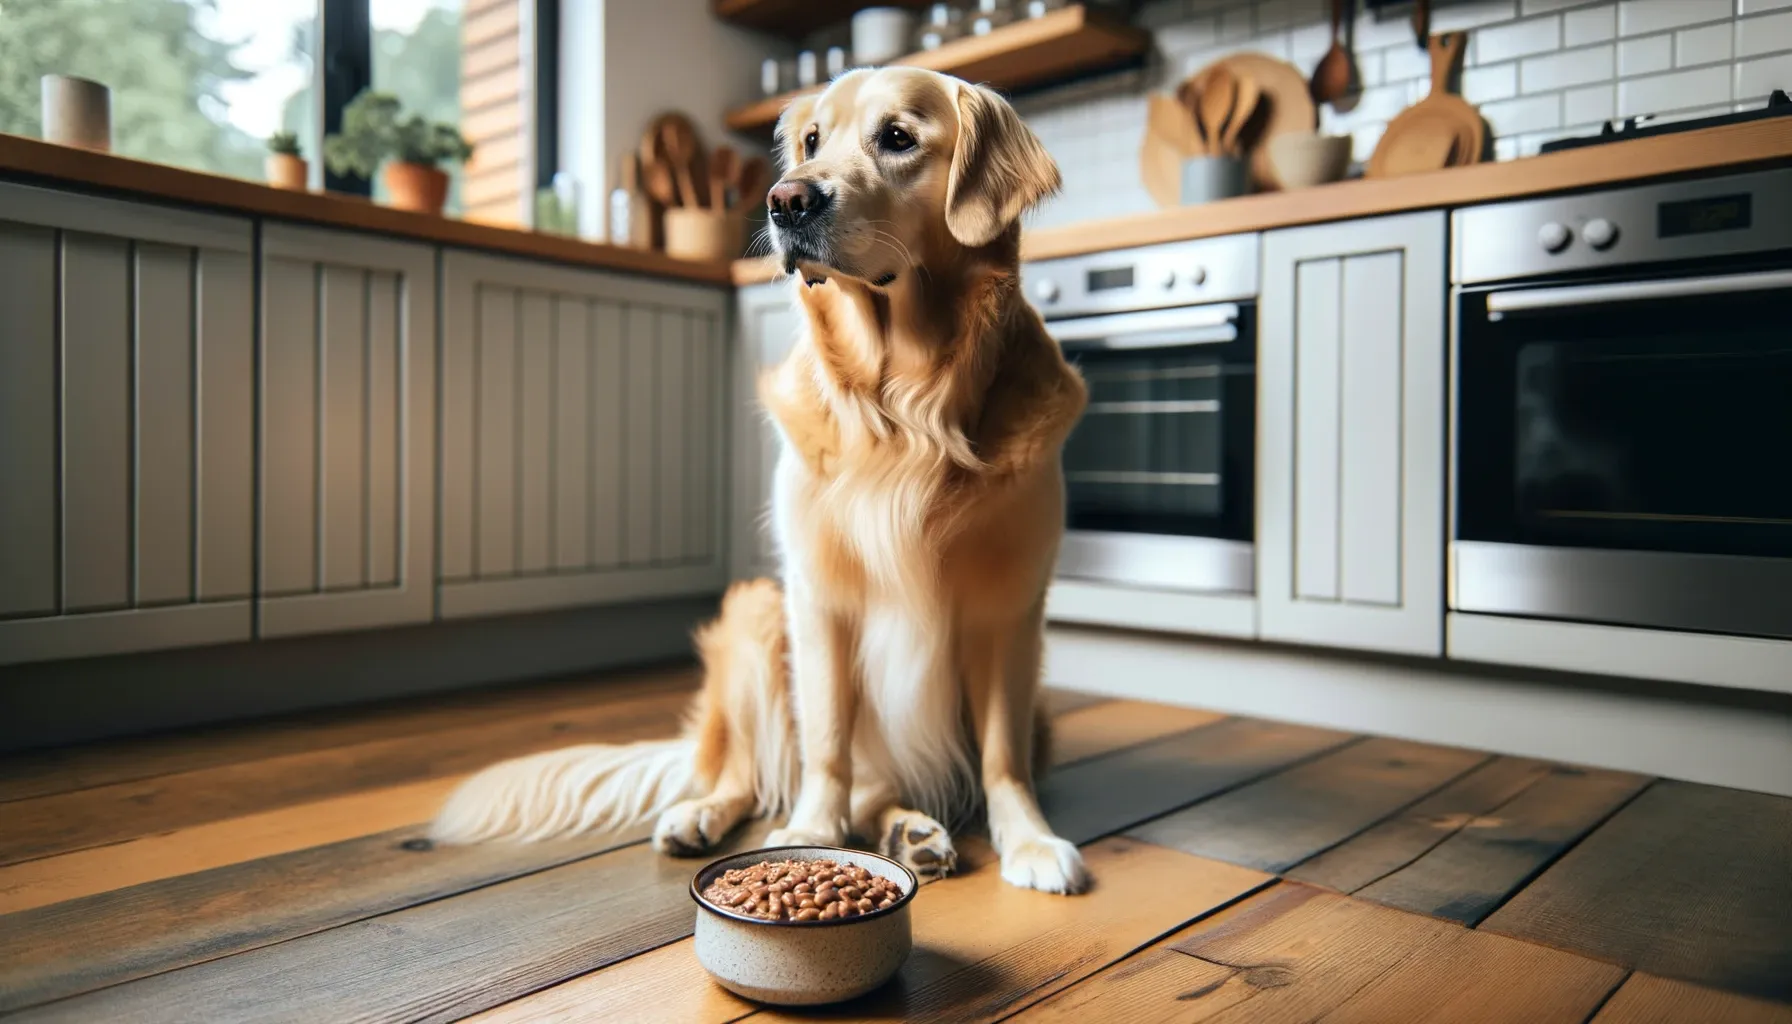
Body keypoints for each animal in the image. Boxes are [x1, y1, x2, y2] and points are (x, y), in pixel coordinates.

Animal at [430, 68, 1089, 893]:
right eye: (810, 141)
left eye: (897, 137)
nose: (785, 201)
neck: (906, 409)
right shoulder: (816, 596)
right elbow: (827, 742)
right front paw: (810, 834)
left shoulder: (1010, 605)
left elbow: (1003, 753)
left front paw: (1028, 839)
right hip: (753, 618)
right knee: (754, 772)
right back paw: (710, 815)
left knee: (886, 785)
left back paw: (911, 832)